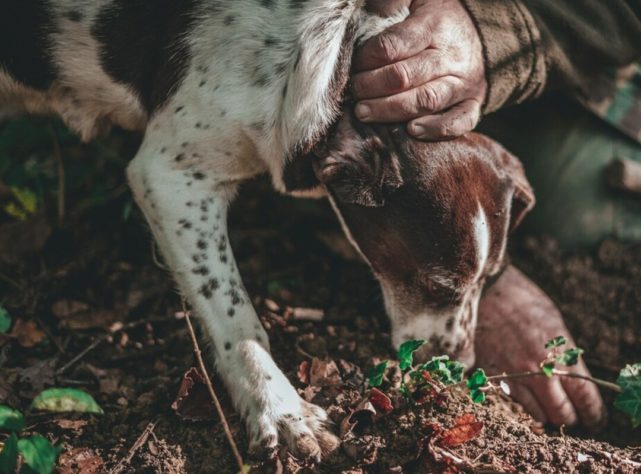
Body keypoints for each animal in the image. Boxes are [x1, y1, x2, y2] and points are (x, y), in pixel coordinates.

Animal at [0, 0, 532, 460]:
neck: (334, 59)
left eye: (491, 279)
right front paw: (280, 409)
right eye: (436, 286)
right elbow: (236, 317)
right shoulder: (170, 176)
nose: (460, 367)